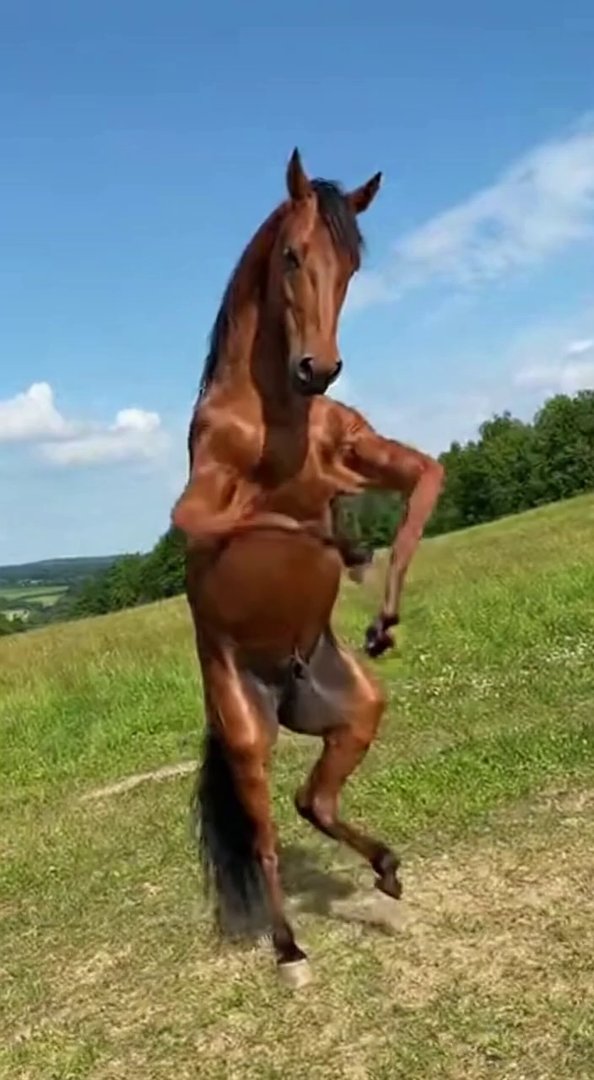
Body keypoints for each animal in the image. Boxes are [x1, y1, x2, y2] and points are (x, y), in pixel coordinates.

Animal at [172, 149, 444, 987]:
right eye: (292, 256)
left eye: (352, 264)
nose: (318, 368)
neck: (277, 413)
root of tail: (283, 685)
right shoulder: (198, 510)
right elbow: (271, 516)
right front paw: (348, 546)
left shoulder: (366, 451)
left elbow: (426, 480)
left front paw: (382, 616)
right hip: (245, 735)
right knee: (264, 834)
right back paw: (290, 949)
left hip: (356, 711)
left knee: (312, 801)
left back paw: (387, 869)